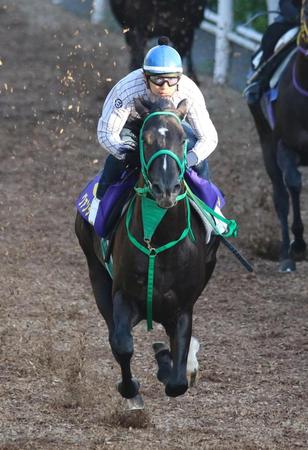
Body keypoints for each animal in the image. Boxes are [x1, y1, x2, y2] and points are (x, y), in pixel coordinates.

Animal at [74, 98, 219, 408]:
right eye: (146, 139)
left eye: (183, 139)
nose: (166, 189)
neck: (159, 243)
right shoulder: (123, 294)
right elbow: (121, 344)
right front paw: (131, 392)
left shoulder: (183, 306)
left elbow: (177, 380)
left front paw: (175, 365)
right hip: (96, 272)